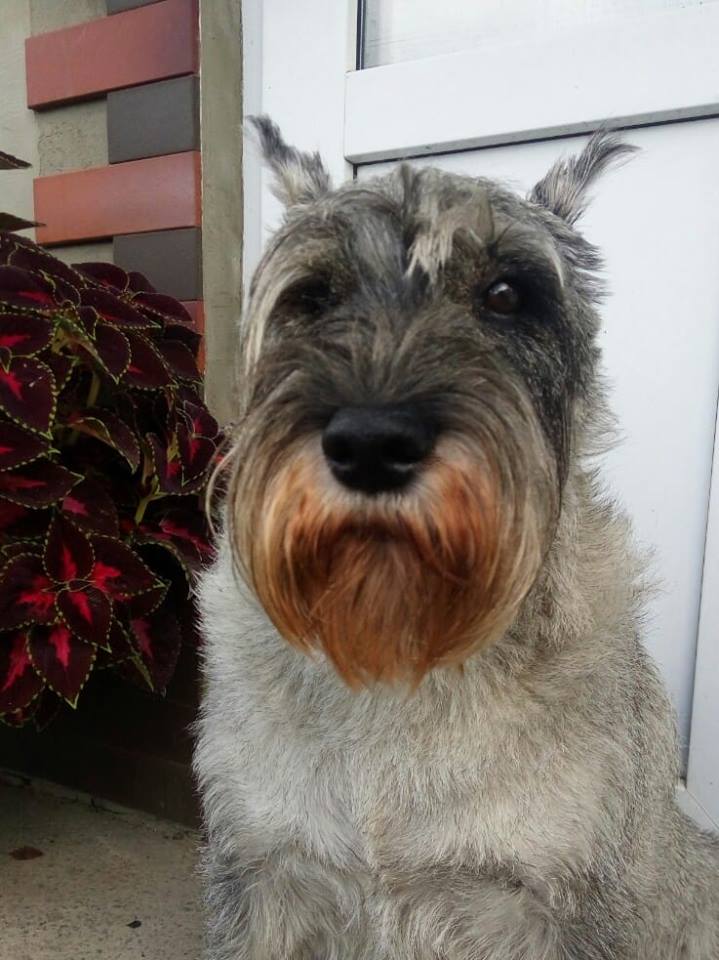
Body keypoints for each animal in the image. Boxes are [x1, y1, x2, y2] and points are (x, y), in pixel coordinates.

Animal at [194, 117, 719, 959]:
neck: (397, 650)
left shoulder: (556, 912)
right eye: (313, 296)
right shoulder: (265, 879)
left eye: (505, 295)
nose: (371, 444)